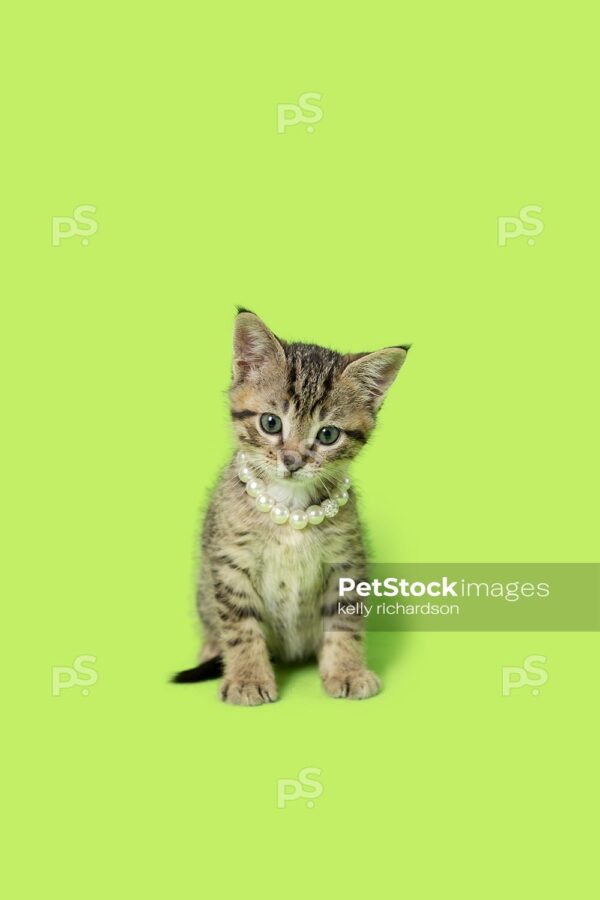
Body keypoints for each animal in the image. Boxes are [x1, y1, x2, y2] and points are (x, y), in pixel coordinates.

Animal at [171, 310, 410, 704]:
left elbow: (344, 623)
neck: (291, 509)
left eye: (328, 434)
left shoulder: (345, 564)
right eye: (271, 423)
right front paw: (248, 678)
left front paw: (347, 670)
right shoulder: (231, 562)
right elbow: (240, 626)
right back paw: (212, 649)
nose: (293, 460)